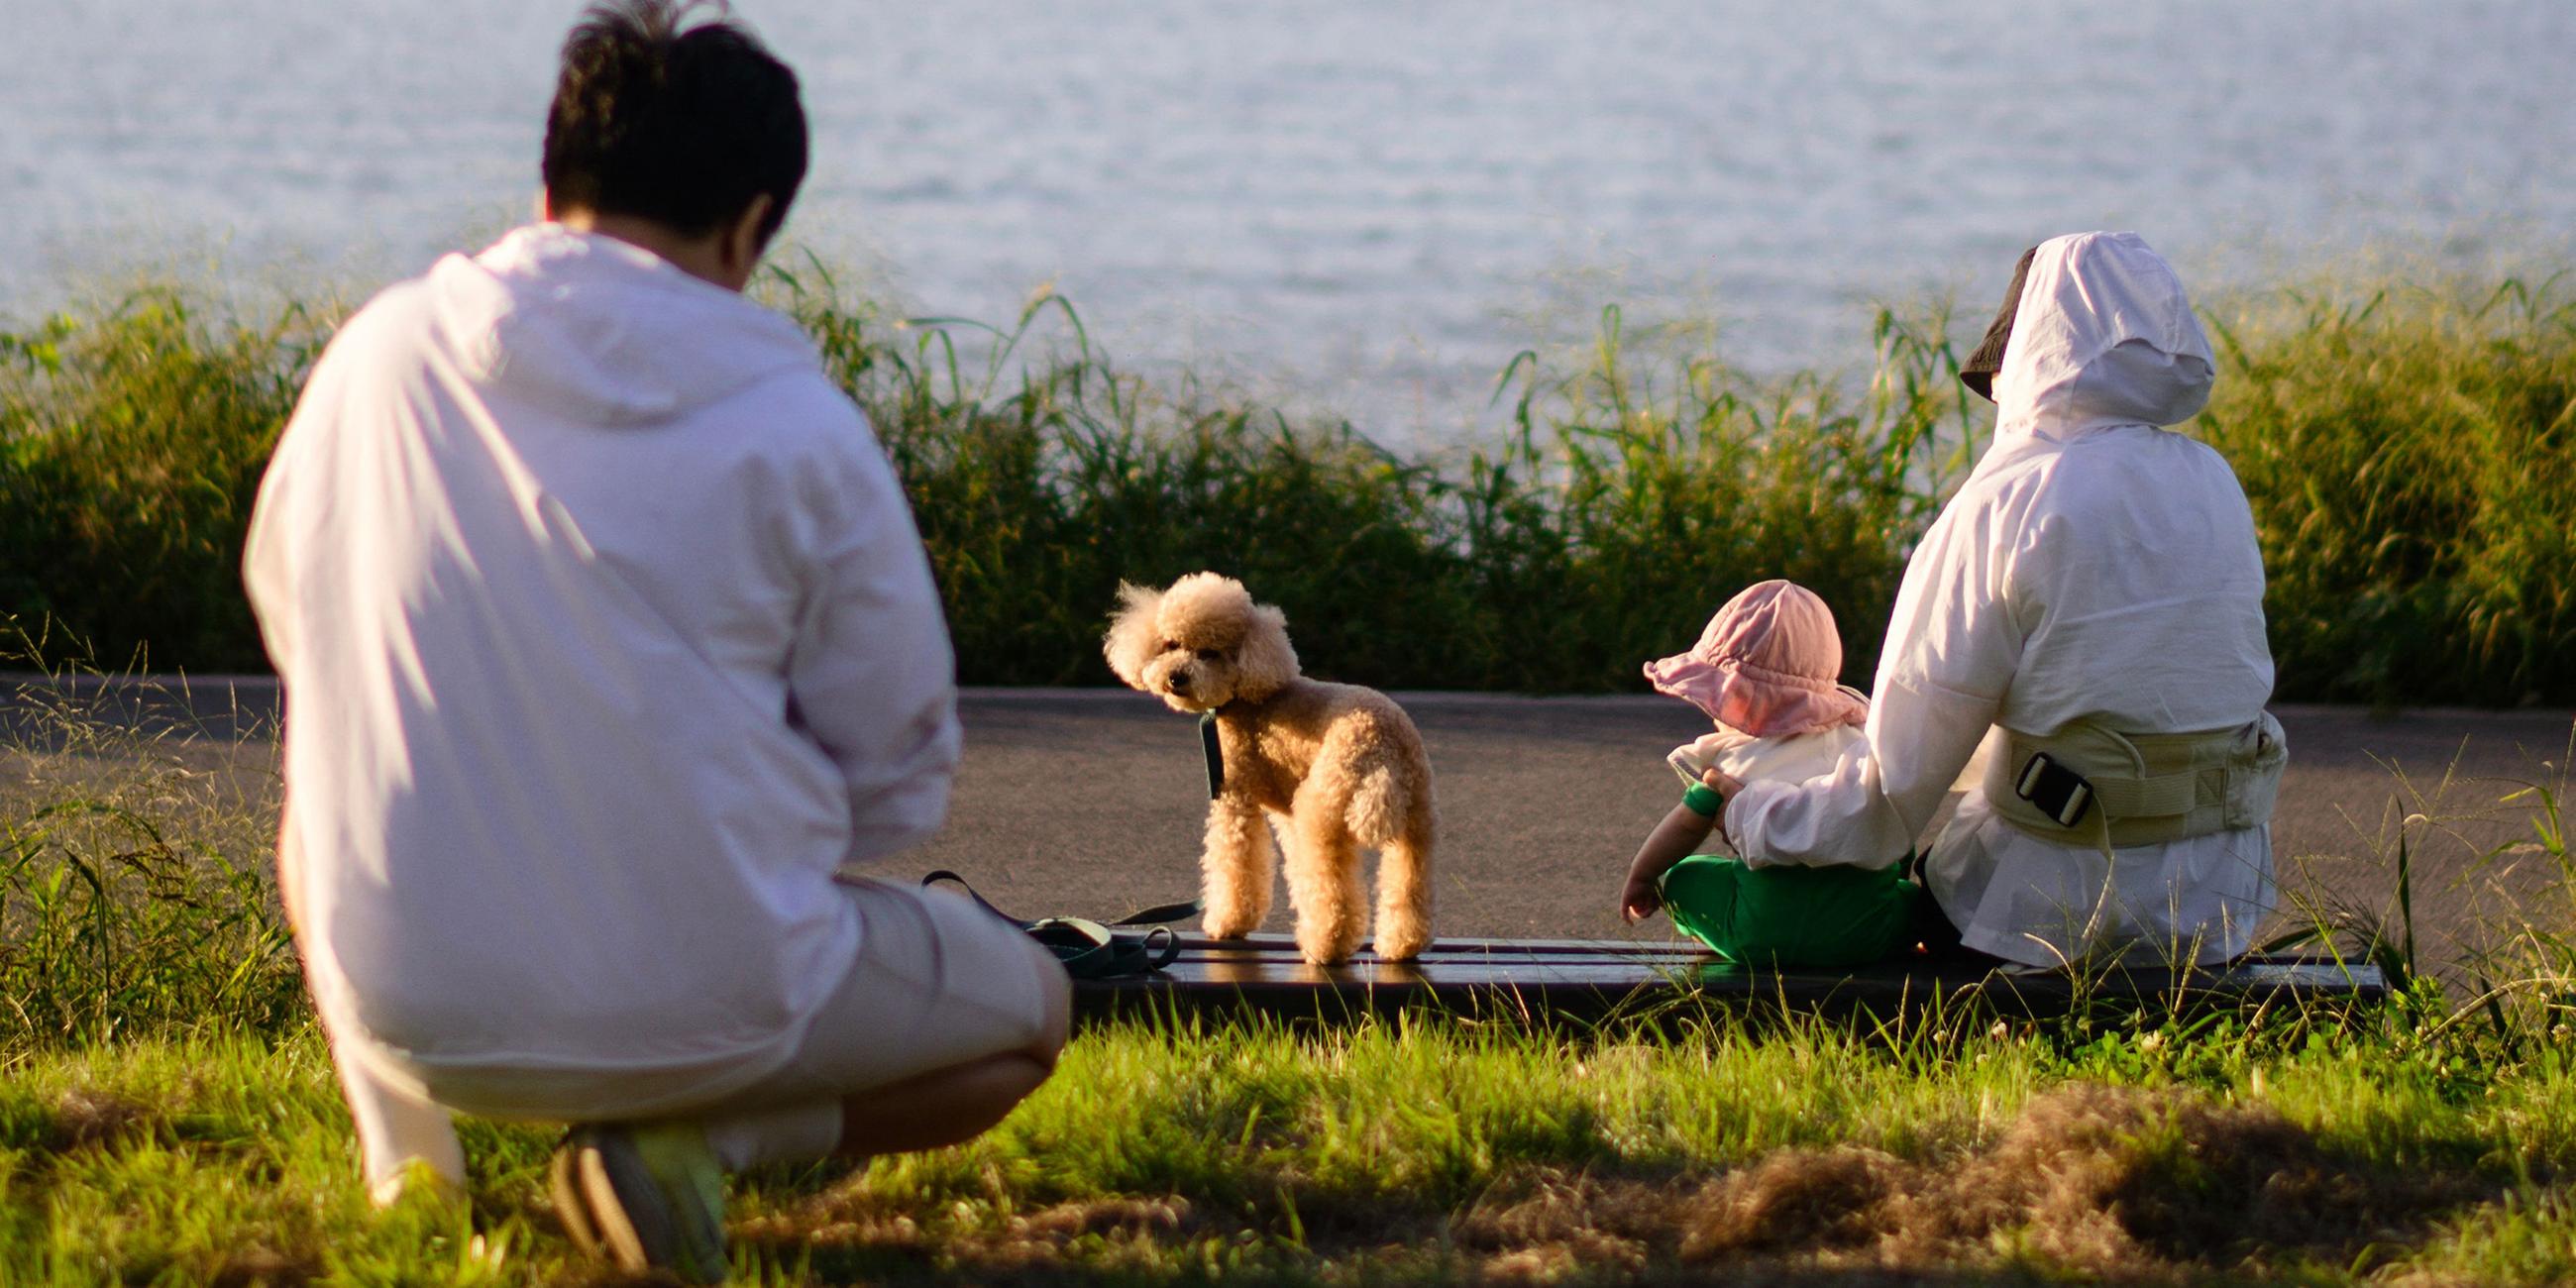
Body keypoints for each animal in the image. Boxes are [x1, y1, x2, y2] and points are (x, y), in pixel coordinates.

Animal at [1102, 577, 1443, 968]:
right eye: (1171, 645)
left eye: (1210, 653)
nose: (1176, 677)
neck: (1243, 696)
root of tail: (1382, 747)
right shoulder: (1286, 814)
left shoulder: (1235, 797)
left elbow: (1236, 864)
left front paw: (1227, 923)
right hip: (1417, 818)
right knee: (1410, 884)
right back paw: (1401, 946)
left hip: (1323, 812)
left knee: (1334, 891)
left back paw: (1326, 947)